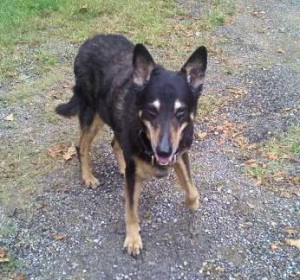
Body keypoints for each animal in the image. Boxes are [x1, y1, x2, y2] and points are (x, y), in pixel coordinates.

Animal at [55, 34, 206, 255]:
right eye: (152, 111)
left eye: (181, 112)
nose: (163, 151)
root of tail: (91, 39)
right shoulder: (134, 176)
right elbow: (131, 210)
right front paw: (133, 240)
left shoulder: (180, 154)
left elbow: (193, 190)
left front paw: (191, 203)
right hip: (94, 115)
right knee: (81, 147)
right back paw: (88, 177)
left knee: (114, 143)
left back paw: (120, 166)